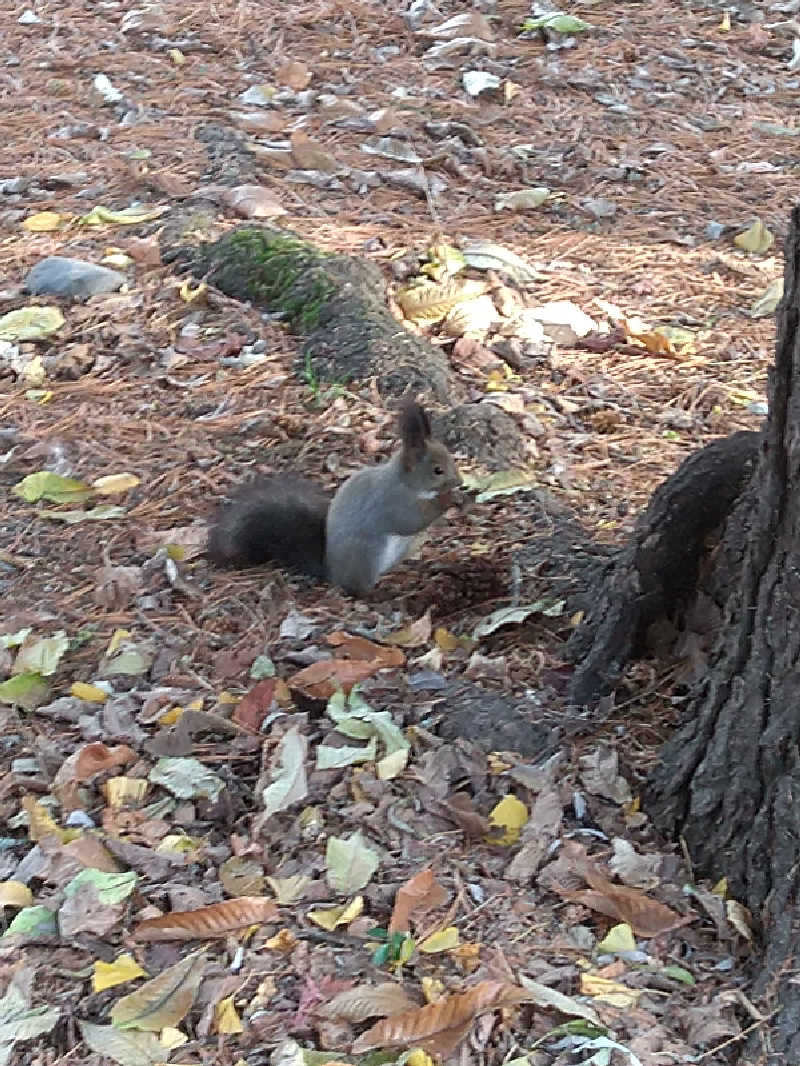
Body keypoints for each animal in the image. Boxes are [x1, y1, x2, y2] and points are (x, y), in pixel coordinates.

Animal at [208, 400, 462, 601]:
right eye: (438, 470)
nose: (459, 482)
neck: (407, 483)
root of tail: (332, 572)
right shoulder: (392, 502)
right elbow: (411, 520)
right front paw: (448, 499)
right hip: (366, 556)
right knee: (358, 589)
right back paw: (382, 593)